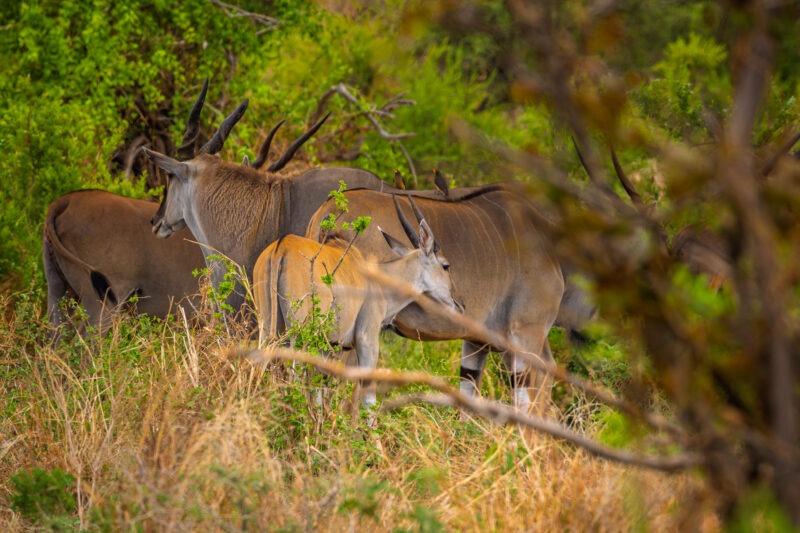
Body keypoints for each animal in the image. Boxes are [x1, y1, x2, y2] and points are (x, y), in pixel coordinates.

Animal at [253, 195, 460, 408]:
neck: (380, 281)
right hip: (299, 334)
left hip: (267, 326)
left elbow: (319, 390)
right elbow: (368, 397)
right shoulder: (366, 338)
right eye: (446, 266)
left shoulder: (328, 346)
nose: (457, 304)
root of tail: (281, 248)